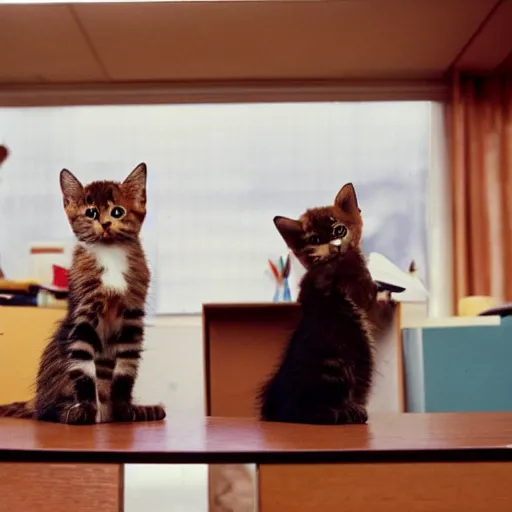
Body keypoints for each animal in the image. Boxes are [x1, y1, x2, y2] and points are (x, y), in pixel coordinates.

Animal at [0, 163, 166, 424]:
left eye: (117, 212)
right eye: (91, 213)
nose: (105, 224)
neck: (110, 255)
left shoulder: (132, 317)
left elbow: (126, 370)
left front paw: (126, 411)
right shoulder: (83, 316)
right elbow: (83, 368)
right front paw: (85, 411)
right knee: (46, 411)